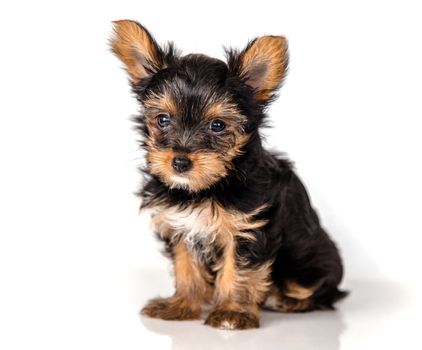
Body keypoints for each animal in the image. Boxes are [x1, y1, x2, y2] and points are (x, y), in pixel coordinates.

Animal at [110, 19, 348, 330]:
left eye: (218, 125)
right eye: (163, 119)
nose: (180, 162)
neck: (207, 188)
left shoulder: (248, 230)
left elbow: (239, 271)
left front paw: (232, 313)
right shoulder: (179, 225)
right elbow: (185, 266)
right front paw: (182, 305)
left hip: (309, 266)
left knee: (322, 291)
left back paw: (288, 301)